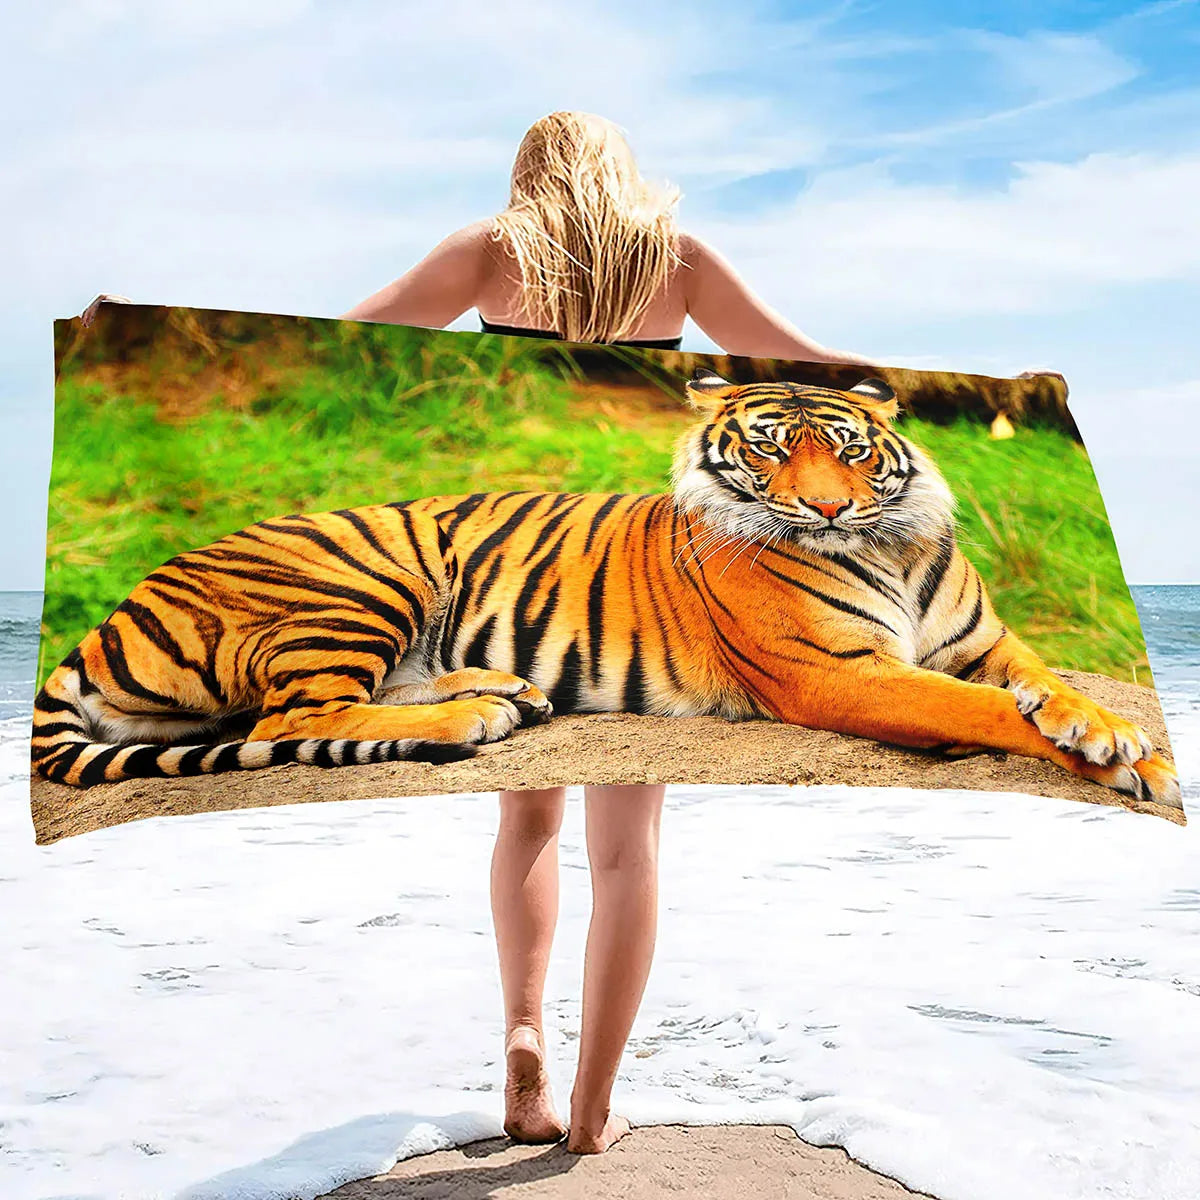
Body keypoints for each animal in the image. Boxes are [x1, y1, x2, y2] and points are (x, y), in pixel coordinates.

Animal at [31, 369, 1181, 809]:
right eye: (770, 450)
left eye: (852, 451)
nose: (824, 510)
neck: (891, 547)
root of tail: (108, 618)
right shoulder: (840, 672)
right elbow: (984, 712)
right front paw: (1130, 759)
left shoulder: (983, 641)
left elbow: (1043, 686)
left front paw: (1119, 735)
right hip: (362, 572)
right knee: (294, 714)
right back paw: (468, 720)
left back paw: (500, 695)